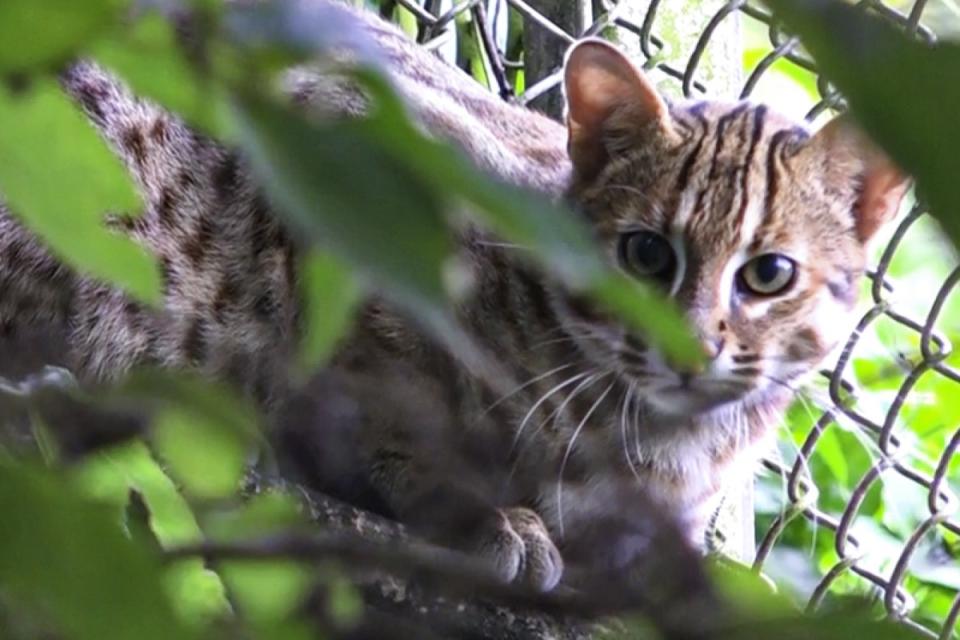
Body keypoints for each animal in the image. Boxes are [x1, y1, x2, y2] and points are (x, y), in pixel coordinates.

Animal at [0, 0, 908, 592]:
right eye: (647, 254)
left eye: (769, 275)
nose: (693, 348)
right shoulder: (345, 140)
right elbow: (393, 387)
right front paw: (483, 513)